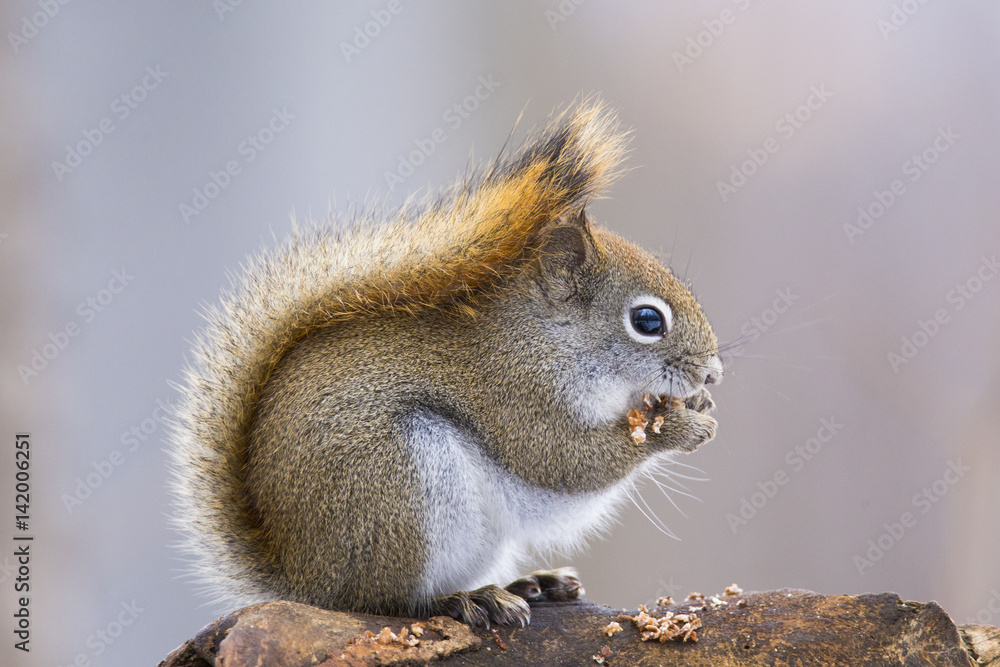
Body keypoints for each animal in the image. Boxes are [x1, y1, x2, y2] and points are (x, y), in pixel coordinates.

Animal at [168, 99, 723, 628]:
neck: (549, 339)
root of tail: (305, 579)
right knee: (384, 601)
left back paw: (530, 584)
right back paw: (463, 600)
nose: (713, 372)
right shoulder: (515, 391)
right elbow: (567, 460)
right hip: (397, 487)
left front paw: (698, 402)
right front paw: (681, 427)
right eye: (647, 320)